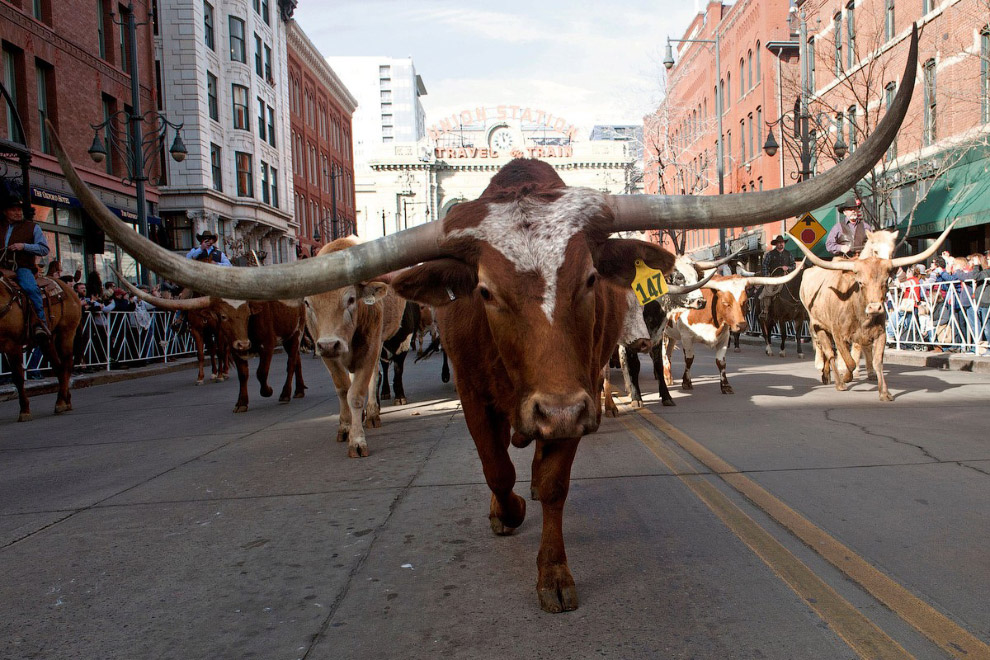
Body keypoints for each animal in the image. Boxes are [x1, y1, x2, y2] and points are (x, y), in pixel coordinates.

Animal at [0, 274, 82, 422]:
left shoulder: (12, 345)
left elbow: (18, 377)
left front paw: (25, 411)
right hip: (47, 341)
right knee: (59, 367)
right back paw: (65, 400)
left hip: (66, 333)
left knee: (66, 365)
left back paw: (60, 402)